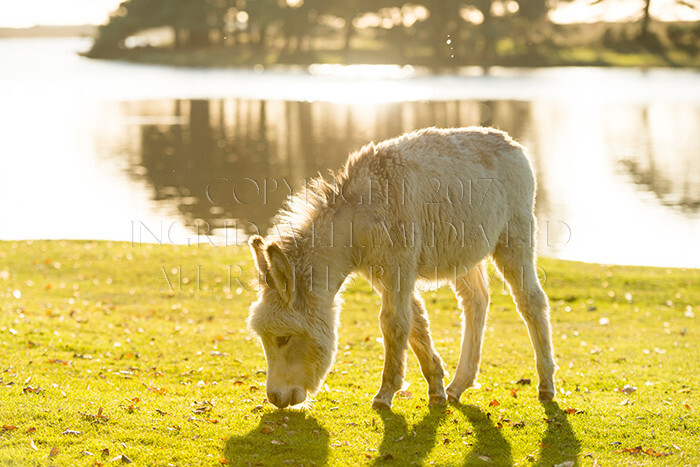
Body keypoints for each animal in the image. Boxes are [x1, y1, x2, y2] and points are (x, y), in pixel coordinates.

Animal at [249, 127, 556, 410]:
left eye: (283, 339)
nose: (275, 398)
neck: (360, 216)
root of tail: (510, 143)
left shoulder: (398, 267)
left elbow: (394, 324)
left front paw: (385, 394)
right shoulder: (383, 273)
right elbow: (416, 322)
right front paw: (436, 387)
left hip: (514, 237)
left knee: (531, 301)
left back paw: (546, 385)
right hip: (464, 254)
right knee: (476, 301)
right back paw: (458, 385)